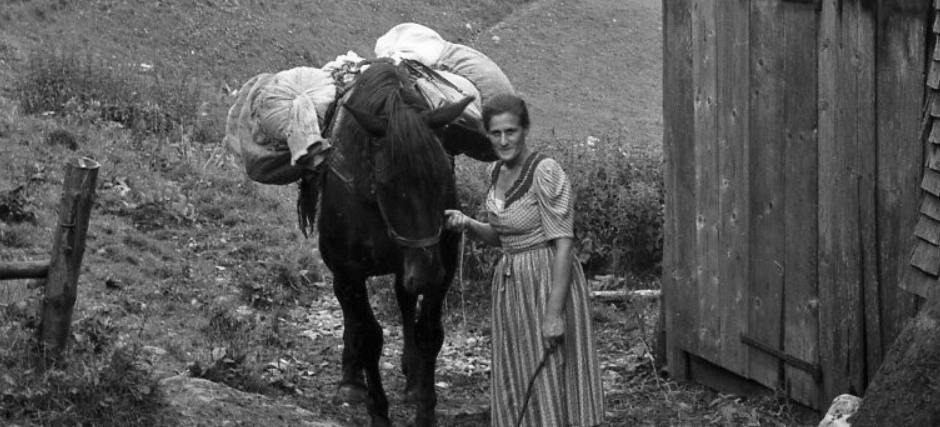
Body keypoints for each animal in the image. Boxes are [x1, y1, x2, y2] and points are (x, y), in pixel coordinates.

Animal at [300, 61, 492, 427]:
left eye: (443, 173)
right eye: (387, 182)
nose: (427, 274)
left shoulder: (442, 261)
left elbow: (429, 332)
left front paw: (425, 407)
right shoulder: (349, 270)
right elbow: (368, 335)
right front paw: (378, 410)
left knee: (405, 302)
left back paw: (412, 374)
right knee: (351, 313)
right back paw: (350, 382)